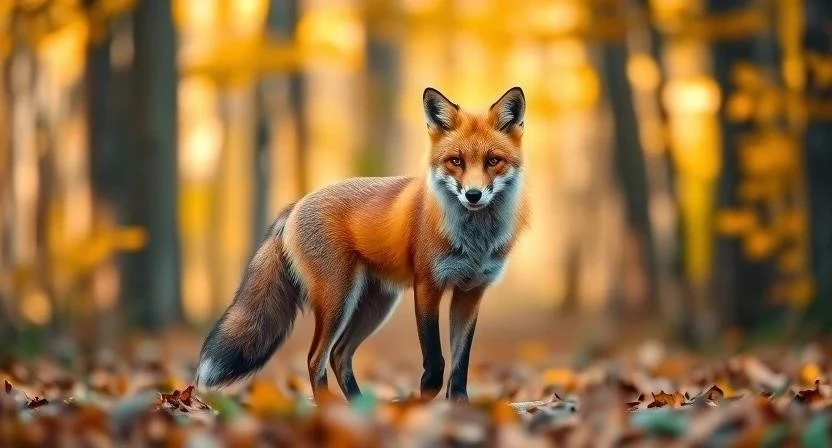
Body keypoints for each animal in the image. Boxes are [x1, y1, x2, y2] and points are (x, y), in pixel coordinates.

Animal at [195, 87, 530, 401]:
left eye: (493, 161)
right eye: (456, 161)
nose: (473, 195)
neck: (474, 241)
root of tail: (296, 204)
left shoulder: (471, 292)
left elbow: (460, 366)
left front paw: (457, 405)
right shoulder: (427, 285)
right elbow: (435, 365)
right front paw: (420, 405)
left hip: (375, 306)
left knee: (339, 355)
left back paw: (358, 406)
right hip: (338, 300)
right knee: (316, 358)